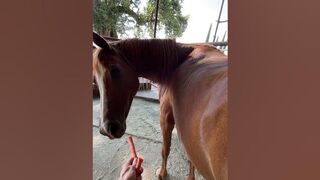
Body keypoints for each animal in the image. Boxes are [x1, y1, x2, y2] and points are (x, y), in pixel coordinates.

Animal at [92, 32, 228, 180]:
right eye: (95, 80)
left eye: (114, 70)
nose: (106, 129)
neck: (176, 62)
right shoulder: (190, 141)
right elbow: (190, 159)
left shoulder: (165, 116)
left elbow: (165, 149)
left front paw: (162, 173)